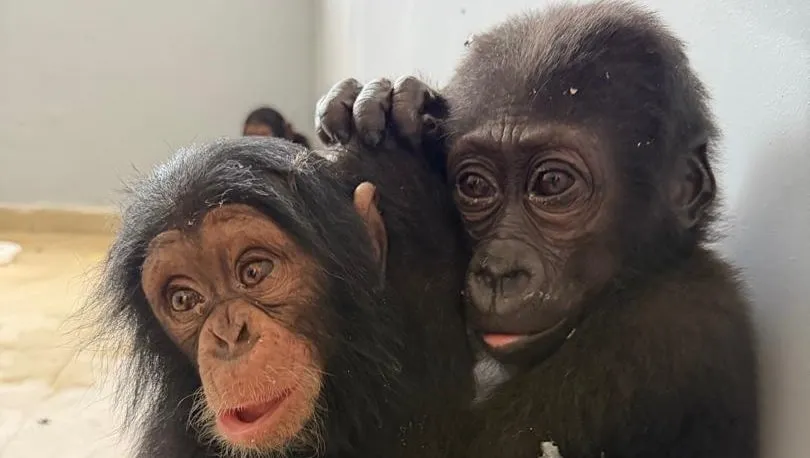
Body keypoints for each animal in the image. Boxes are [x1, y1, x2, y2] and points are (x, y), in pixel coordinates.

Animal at [314, 1, 759, 457]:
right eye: (475, 186)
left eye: (553, 183)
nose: (498, 271)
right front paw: (401, 104)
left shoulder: (663, 331)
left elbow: (430, 440)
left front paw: (395, 172)